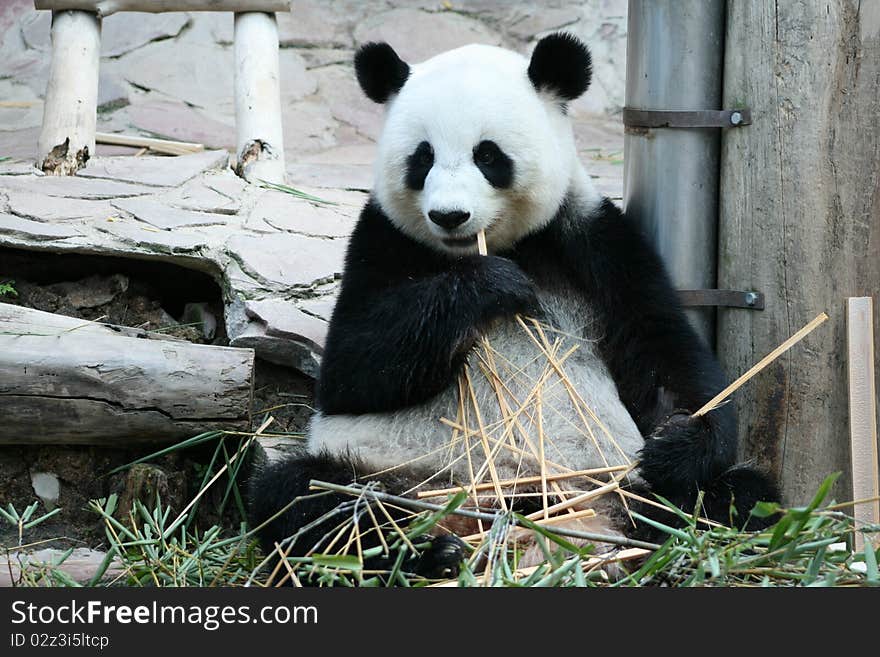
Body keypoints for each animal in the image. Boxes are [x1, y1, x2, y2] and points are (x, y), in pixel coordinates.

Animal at [249, 33, 776, 580]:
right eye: (422, 158)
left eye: (488, 155)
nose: (450, 216)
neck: (492, 247)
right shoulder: (382, 239)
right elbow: (351, 368)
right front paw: (490, 286)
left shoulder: (593, 239)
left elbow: (665, 352)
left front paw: (677, 444)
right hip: (397, 471)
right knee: (308, 497)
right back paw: (428, 553)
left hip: (611, 483)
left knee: (734, 498)